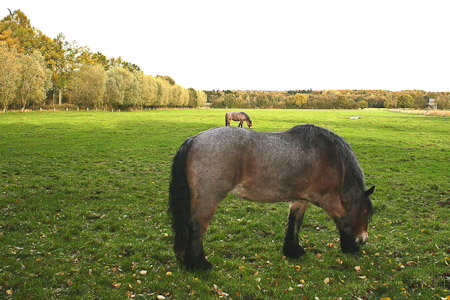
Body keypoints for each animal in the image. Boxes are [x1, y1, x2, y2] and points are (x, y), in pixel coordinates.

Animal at [169, 124, 372, 270]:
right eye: (366, 213)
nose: (363, 239)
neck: (333, 157)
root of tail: (194, 139)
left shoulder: (300, 199)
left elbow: (295, 222)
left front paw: (293, 250)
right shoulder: (327, 198)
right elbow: (343, 218)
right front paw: (350, 247)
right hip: (209, 198)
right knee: (198, 225)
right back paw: (199, 264)